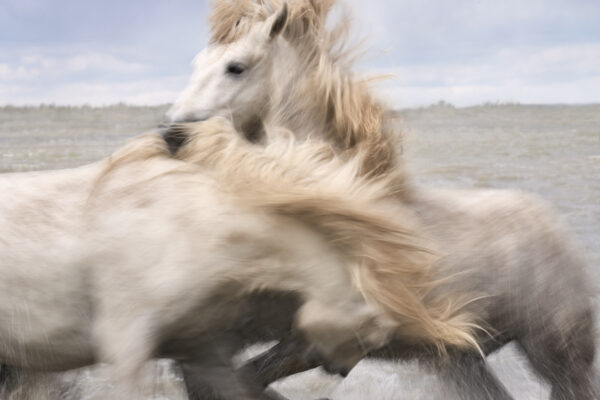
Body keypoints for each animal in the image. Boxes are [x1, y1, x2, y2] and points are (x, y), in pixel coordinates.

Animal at [166, 1, 596, 398]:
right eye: (198, 62)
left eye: (235, 67)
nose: (172, 133)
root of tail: (553, 224)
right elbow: (205, 374)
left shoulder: (314, 342)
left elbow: (244, 379)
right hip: (462, 356)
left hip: (558, 353)